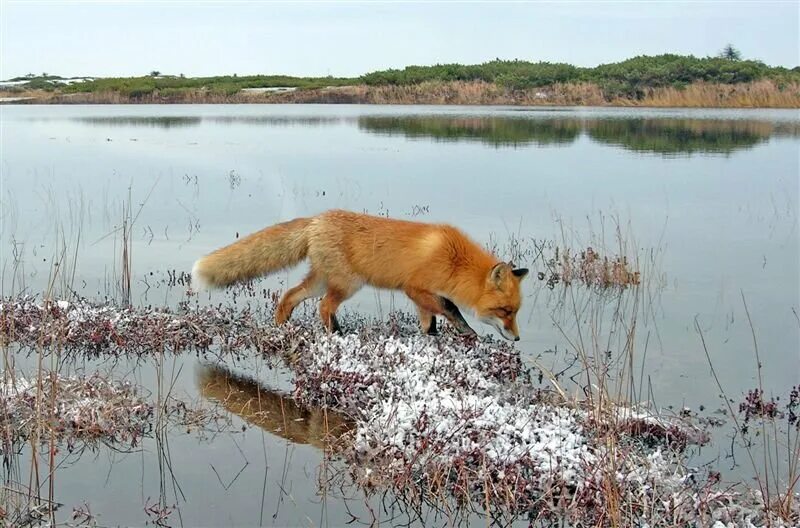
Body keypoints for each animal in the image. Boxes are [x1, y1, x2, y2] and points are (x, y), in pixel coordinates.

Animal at [192, 210, 532, 342]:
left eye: (516, 312)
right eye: (505, 311)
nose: (517, 338)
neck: (453, 260)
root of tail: (316, 219)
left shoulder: (420, 296)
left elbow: (430, 322)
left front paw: (433, 338)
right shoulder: (414, 288)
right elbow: (450, 308)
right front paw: (467, 332)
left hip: (320, 282)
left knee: (289, 296)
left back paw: (281, 327)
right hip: (347, 284)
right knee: (324, 307)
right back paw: (337, 334)